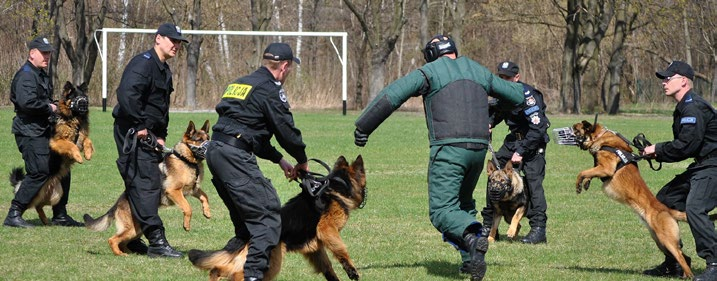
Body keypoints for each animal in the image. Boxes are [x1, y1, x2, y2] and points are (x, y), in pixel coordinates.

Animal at [9, 80, 92, 223]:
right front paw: (78, 157)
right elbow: (71, 146)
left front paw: (88, 154)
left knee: (39, 206)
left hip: (57, 194)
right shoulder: (56, 142)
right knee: (29, 205)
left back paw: (46, 221)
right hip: (38, 194)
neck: (72, 118)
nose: (84, 105)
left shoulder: (81, 136)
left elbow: (88, 141)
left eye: (84, 97)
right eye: (75, 97)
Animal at [83, 119, 211, 255]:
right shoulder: (174, 190)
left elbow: (205, 196)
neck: (185, 159)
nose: (211, 146)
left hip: (137, 229)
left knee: (123, 242)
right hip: (132, 229)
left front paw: (207, 212)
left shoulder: (193, 189)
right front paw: (186, 224)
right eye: (199, 140)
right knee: (112, 239)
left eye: (208, 138)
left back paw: (130, 252)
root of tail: (117, 204)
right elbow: (188, 207)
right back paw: (120, 254)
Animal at [187, 154, 366, 280]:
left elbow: (328, 268)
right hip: (271, 263)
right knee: (236, 274)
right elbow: (341, 249)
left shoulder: (315, 248)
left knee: (218, 270)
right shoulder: (327, 229)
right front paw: (351, 269)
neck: (337, 186)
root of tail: (247, 233)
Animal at [568, 120, 692, 278]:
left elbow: (582, 172)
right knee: (684, 256)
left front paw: (579, 185)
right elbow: (589, 173)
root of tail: (666, 209)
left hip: (666, 240)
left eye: (576, 128)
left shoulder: (606, 168)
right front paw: (586, 183)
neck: (602, 138)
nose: (569, 128)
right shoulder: (599, 168)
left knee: (681, 256)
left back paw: (691, 276)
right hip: (660, 241)